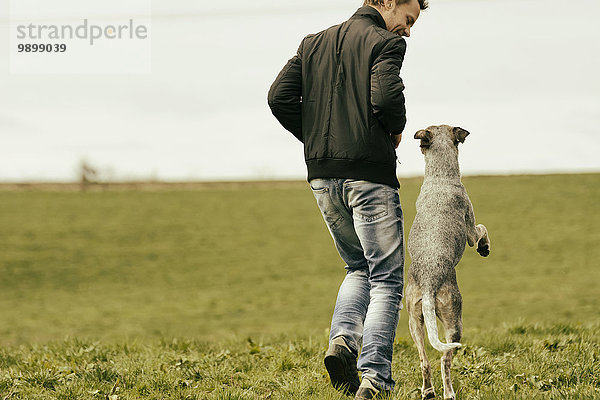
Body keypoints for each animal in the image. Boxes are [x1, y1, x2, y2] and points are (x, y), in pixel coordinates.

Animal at [406, 125, 490, 400]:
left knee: (424, 360)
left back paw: (428, 391)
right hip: (454, 321)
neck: (439, 178)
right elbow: (481, 230)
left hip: (414, 320)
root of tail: (430, 283)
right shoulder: (470, 229)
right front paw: (485, 248)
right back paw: (449, 393)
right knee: (445, 360)